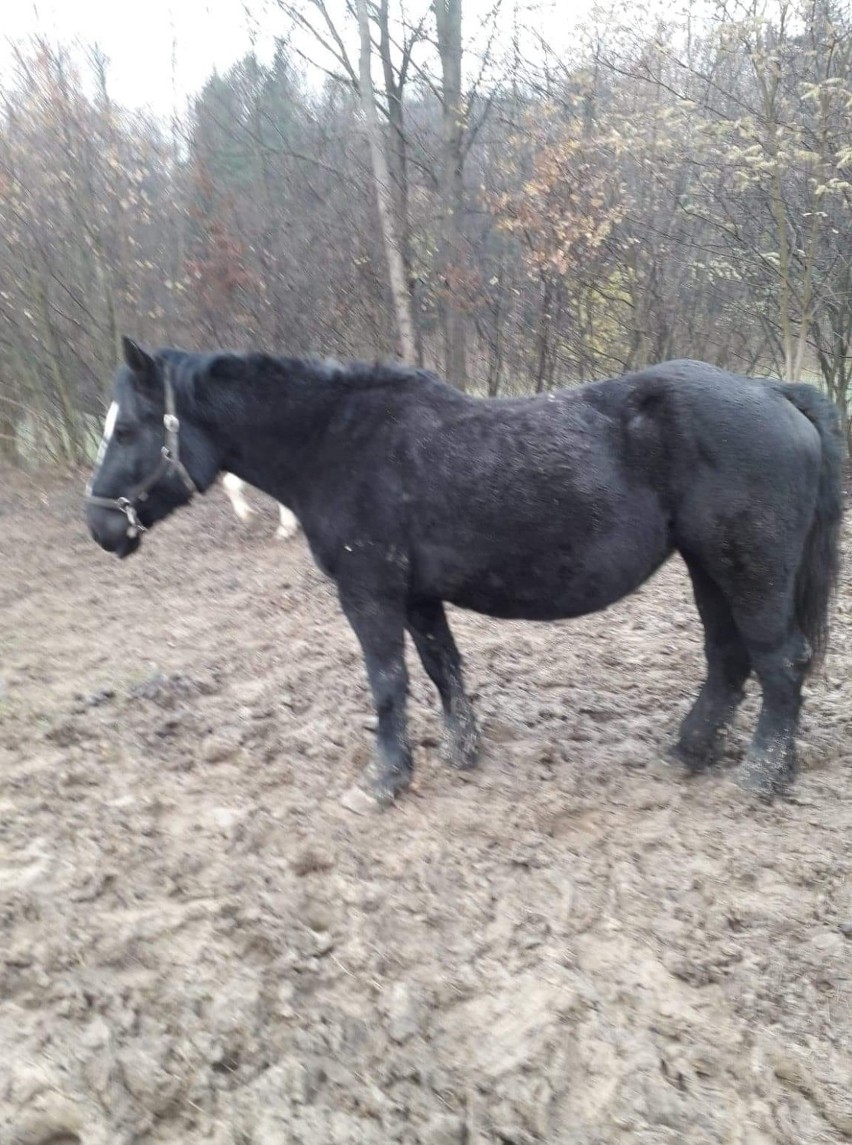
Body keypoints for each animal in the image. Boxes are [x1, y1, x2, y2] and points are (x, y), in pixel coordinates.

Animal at [83, 338, 842, 806]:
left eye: (129, 429)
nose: (99, 527)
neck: (337, 441)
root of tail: (774, 392)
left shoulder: (370, 594)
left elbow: (388, 682)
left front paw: (385, 779)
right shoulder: (418, 596)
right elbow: (442, 667)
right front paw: (461, 751)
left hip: (747, 570)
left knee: (779, 661)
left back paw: (761, 775)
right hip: (709, 568)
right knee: (729, 659)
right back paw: (691, 751)